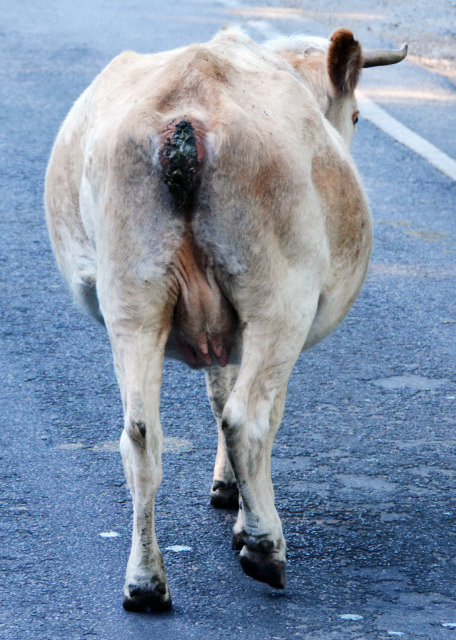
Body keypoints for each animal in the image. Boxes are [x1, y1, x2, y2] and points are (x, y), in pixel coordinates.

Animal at [44, 26, 407, 611]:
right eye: (355, 116)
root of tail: (186, 114)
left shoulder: (217, 330)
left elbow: (217, 392)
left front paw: (226, 490)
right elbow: (257, 411)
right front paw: (242, 517)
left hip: (132, 298)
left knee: (141, 435)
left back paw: (145, 583)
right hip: (279, 297)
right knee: (248, 419)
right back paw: (265, 547)